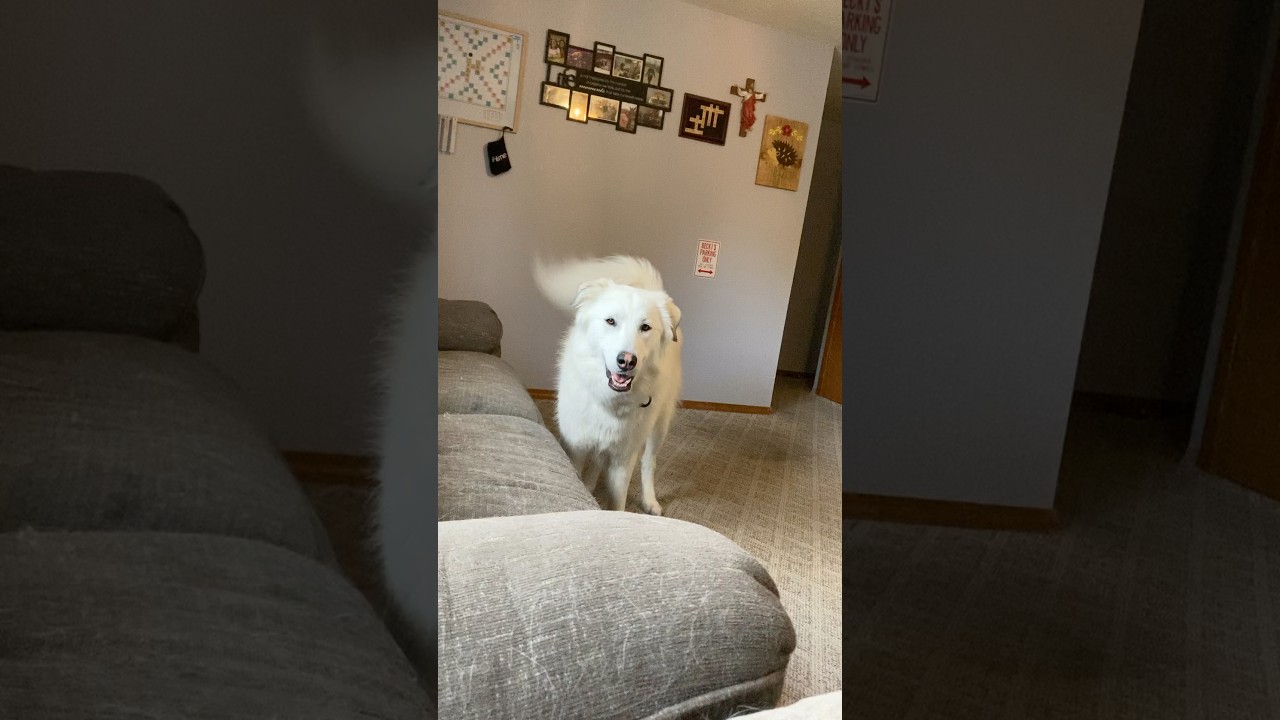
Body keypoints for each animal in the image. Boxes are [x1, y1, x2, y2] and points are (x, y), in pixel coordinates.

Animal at [534, 255, 682, 515]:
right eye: (610, 321)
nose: (627, 361)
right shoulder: (576, 447)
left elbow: (617, 502)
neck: (610, 401)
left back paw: (649, 500)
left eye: (645, 327)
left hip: (659, 426)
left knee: (649, 463)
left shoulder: (623, 458)